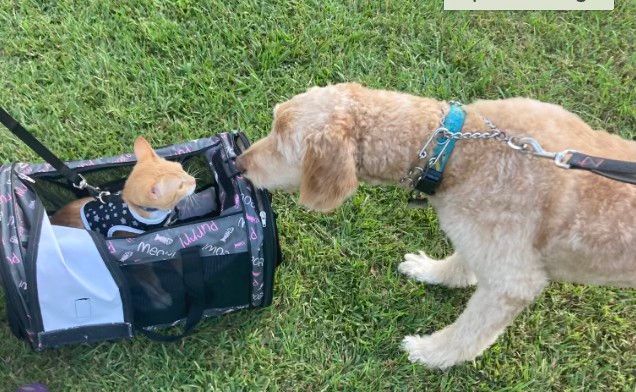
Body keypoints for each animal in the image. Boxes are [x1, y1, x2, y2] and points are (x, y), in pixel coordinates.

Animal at [235, 82, 636, 368]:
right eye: (273, 123)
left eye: (280, 142)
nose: (238, 164)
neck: (452, 150)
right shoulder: (478, 238)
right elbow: (462, 264)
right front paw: (431, 271)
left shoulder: (512, 281)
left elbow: (468, 333)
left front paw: (431, 353)